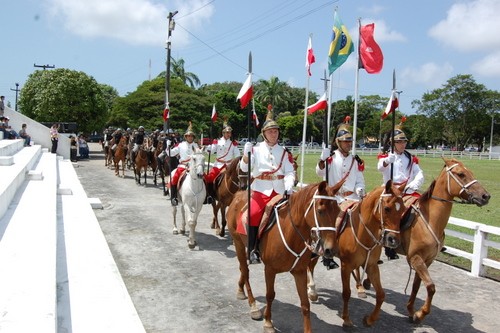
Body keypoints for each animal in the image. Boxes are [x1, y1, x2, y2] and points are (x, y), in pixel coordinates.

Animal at [227, 179, 344, 332]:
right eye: (320, 211)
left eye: (338, 212)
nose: (331, 249)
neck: (292, 233)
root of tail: (238, 195)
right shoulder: (270, 270)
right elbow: (270, 295)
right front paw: (268, 323)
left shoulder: (300, 271)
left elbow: (305, 304)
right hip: (238, 243)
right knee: (245, 271)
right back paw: (253, 306)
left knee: (243, 269)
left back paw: (241, 290)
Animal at [306, 180, 404, 326]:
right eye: (387, 208)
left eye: (403, 209)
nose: (394, 240)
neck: (362, 232)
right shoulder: (346, 266)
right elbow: (346, 293)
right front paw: (346, 319)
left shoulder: (371, 266)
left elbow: (381, 294)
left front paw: (370, 319)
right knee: (309, 266)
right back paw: (311, 291)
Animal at [358, 157, 490, 322]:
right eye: (461, 174)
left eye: (470, 172)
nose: (485, 196)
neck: (430, 221)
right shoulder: (416, 258)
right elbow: (431, 287)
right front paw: (421, 313)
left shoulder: (427, 260)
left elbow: (417, 286)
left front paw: (411, 310)